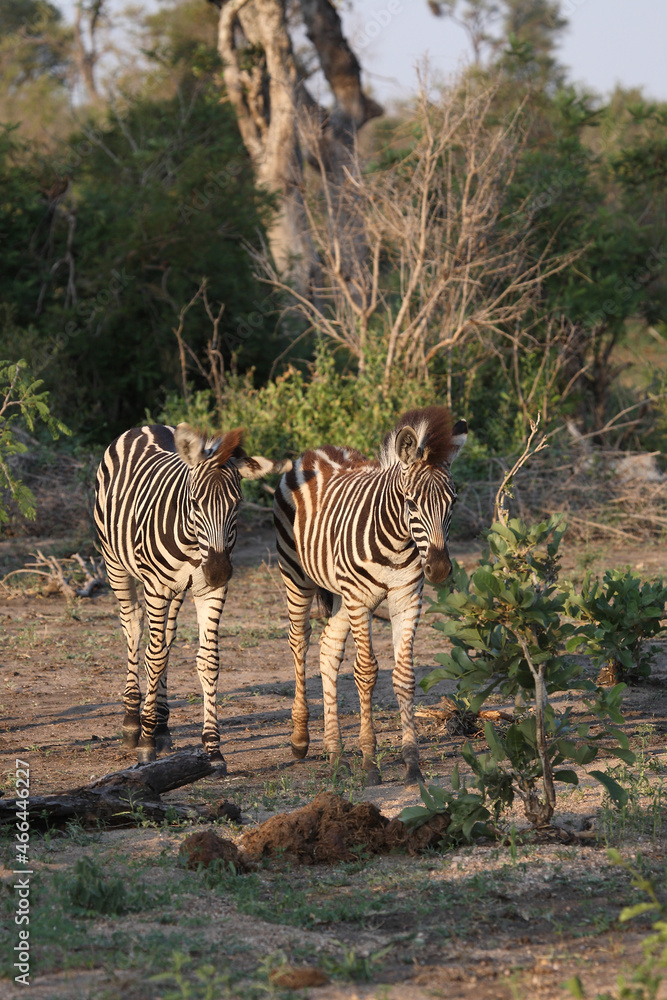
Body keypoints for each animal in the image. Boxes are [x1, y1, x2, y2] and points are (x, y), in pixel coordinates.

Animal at [95, 422, 289, 768]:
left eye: (237, 503)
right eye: (195, 502)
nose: (218, 571)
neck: (192, 546)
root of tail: (146, 426)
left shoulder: (210, 592)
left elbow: (207, 660)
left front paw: (212, 748)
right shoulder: (156, 588)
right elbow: (153, 657)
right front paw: (145, 741)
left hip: (176, 591)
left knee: (166, 639)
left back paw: (161, 726)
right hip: (115, 564)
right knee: (133, 628)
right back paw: (133, 722)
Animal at [273, 407, 467, 785]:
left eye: (452, 501)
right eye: (410, 503)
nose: (438, 569)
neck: (398, 540)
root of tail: (316, 451)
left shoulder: (406, 597)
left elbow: (403, 676)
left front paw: (411, 762)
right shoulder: (359, 599)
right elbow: (366, 672)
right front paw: (369, 762)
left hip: (339, 595)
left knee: (328, 649)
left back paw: (335, 754)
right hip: (297, 574)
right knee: (299, 641)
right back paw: (300, 739)